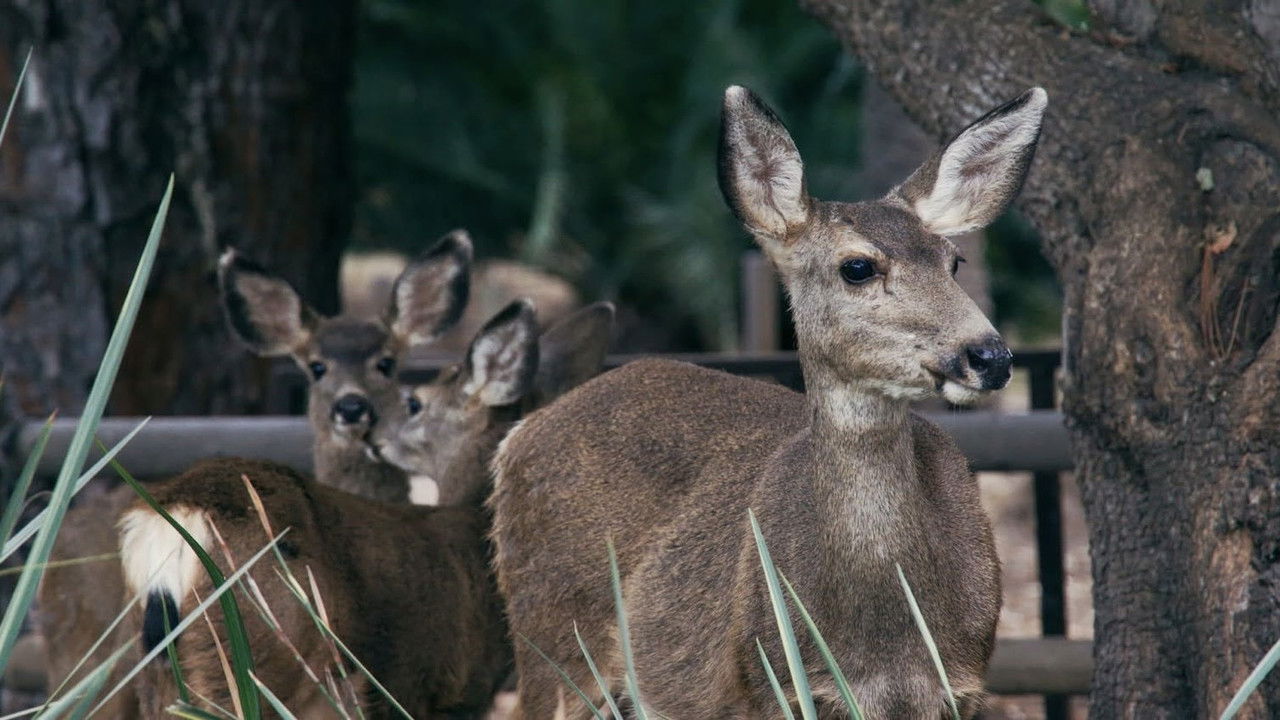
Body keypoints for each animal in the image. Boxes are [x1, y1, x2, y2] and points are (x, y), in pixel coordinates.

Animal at [117, 299, 615, 719]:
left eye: (412, 403)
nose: (371, 432)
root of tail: (181, 518)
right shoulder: (451, 687)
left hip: (160, 668)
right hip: (258, 653)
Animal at [489, 86, 1047, 719]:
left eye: (954, 262)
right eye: (857, 266)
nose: (990, 355)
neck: (885, 637)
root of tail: (519, 437)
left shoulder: (961, 685)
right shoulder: (768, 683)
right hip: (551, 638)